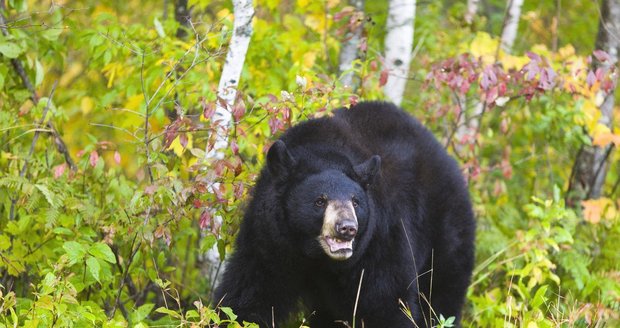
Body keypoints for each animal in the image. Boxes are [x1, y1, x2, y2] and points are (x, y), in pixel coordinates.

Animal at [213, 101, 474, 326]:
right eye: (320, 201)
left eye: (356, 202)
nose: (347, 228)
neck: (316, 257)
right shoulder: (270, 238)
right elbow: (251, 292)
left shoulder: (380, 239)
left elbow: (385, 301)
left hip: (445, 231)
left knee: (441, 294)